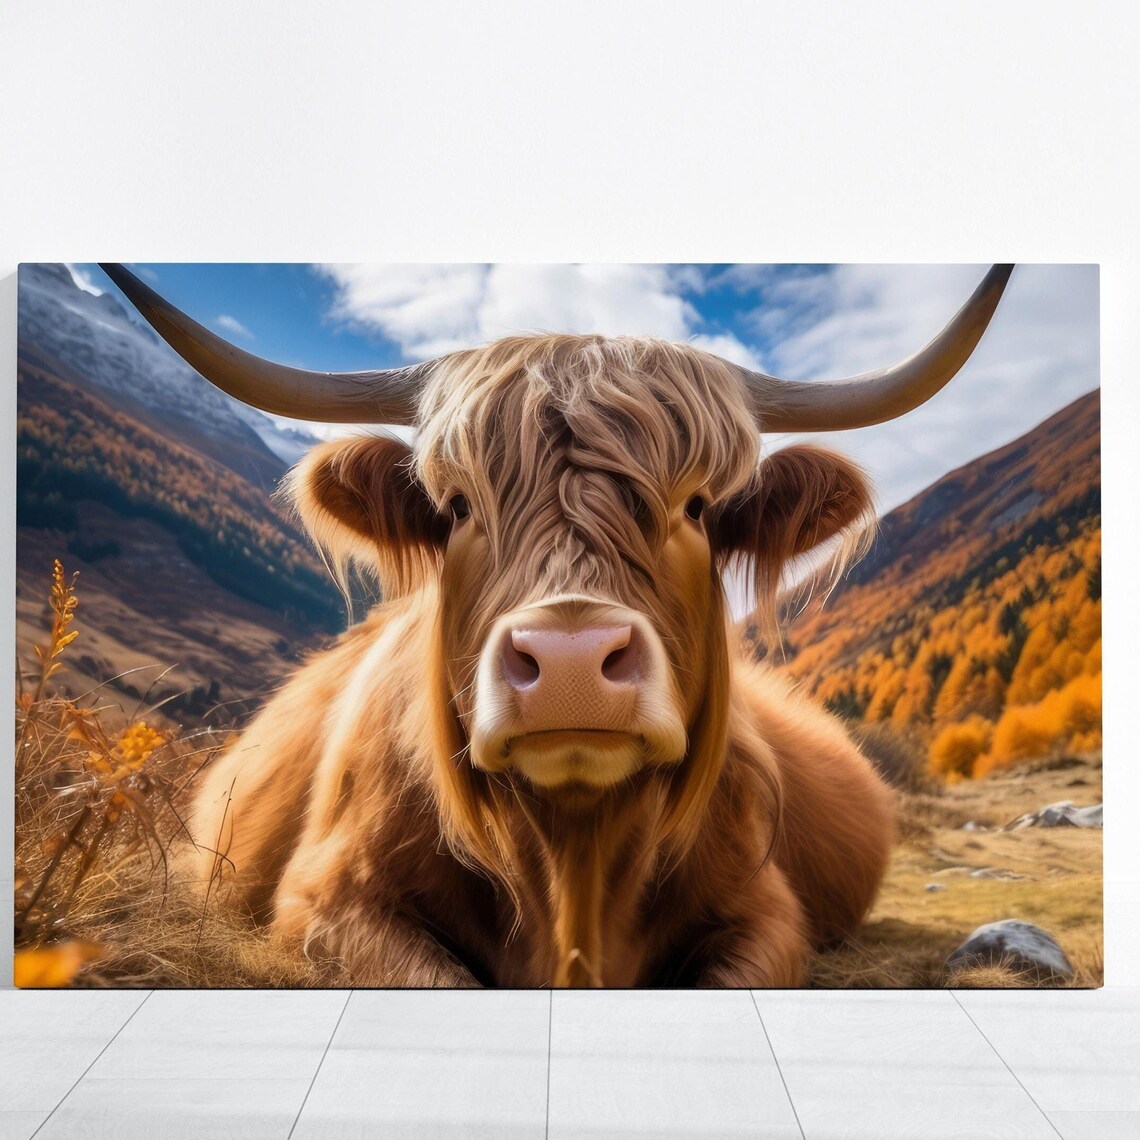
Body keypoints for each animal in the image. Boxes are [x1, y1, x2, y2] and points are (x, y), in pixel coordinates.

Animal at [103, 262, 1012, 987]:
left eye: (696, 505)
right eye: (456, 505)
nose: (570, 660)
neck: (572, 861)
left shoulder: (767, 911)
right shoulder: (323, 902)